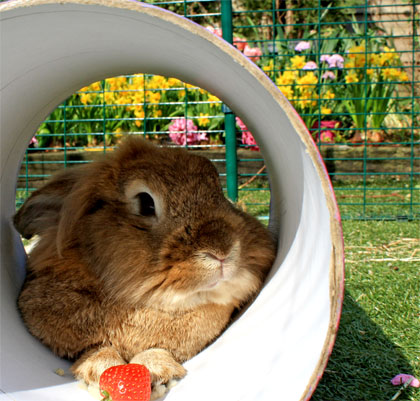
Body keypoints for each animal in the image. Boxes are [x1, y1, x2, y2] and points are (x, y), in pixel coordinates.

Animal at [13, 137, 276, 396]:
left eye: (219, 192)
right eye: (146, 203)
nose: (222, 249)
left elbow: (159, 349)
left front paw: (158, 370)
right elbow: (94, 348)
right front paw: (100, 368)